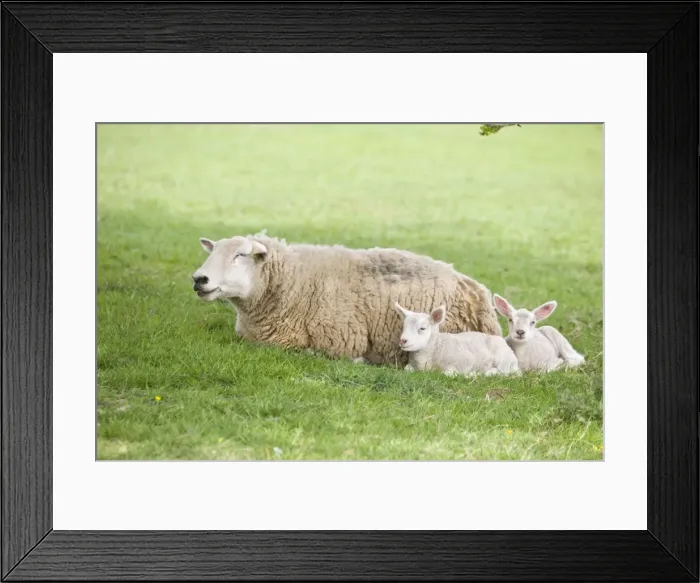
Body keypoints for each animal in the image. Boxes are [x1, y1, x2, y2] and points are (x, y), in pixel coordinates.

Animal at [191, 233, 501, 367]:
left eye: (240, 255)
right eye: (213, 251)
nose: (199, 279)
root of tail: (474, 287)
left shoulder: (338, 342)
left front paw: (360, 361)